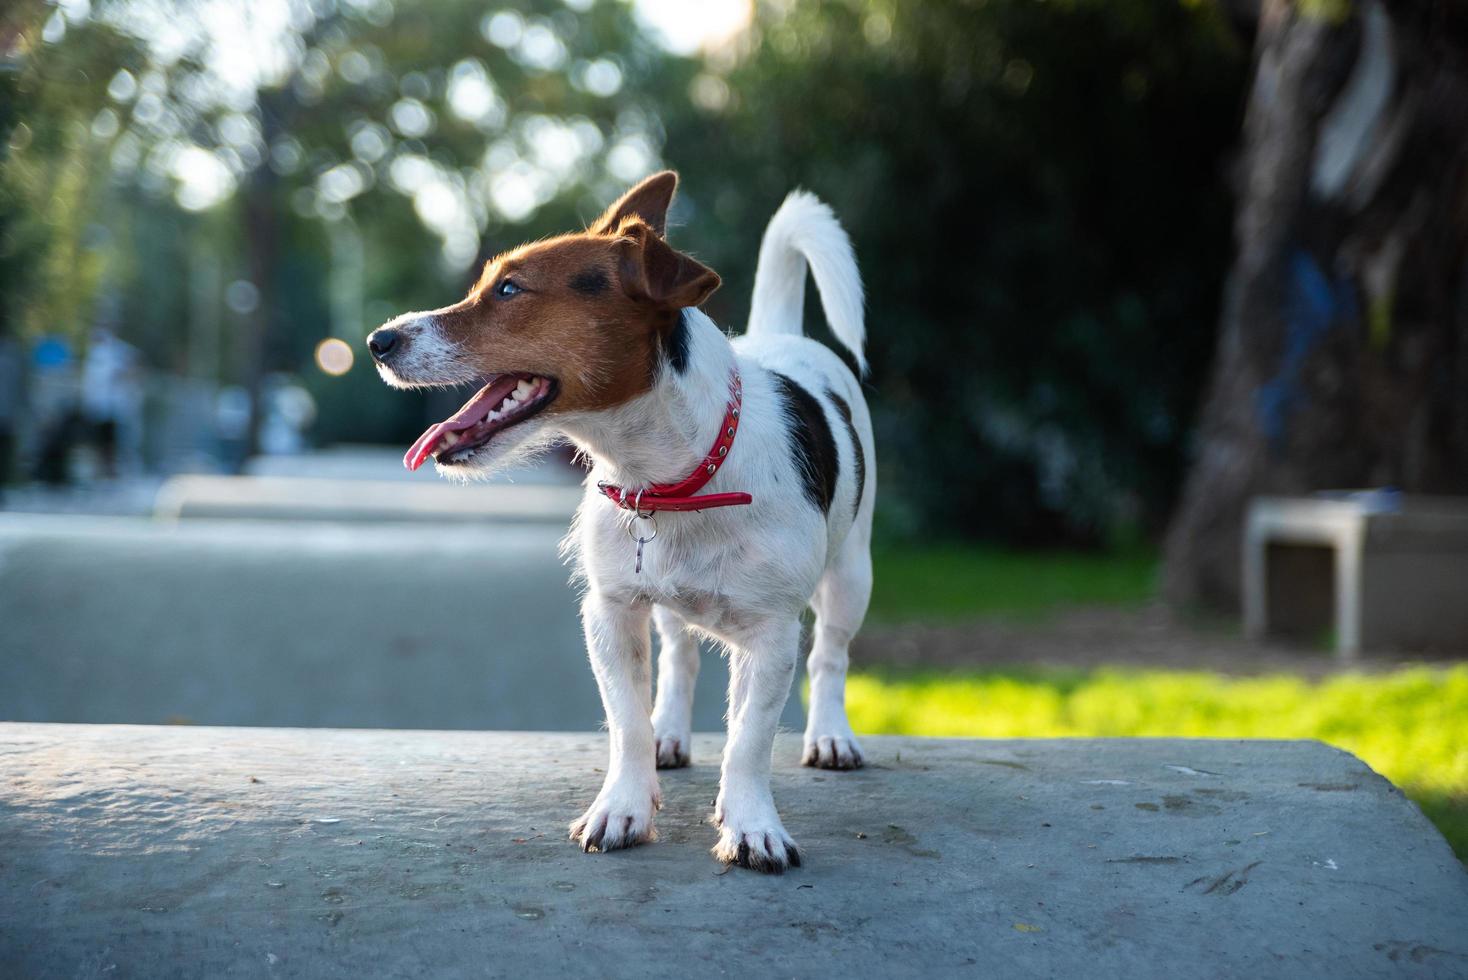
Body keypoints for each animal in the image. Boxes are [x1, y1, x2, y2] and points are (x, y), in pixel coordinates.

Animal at [367, 173, 869, 874]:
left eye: (510, 289)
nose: (377, 342)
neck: (668, 477)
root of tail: (782, 336)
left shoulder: (772, 635)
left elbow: (749, 740)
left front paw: (751, 825)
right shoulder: (610, 611)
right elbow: (627, 722)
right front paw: (623, 807)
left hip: (851, 577)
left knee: (829, 657)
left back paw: (830, 735)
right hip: (670, 605)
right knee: (681, 658)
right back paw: (670, 734)